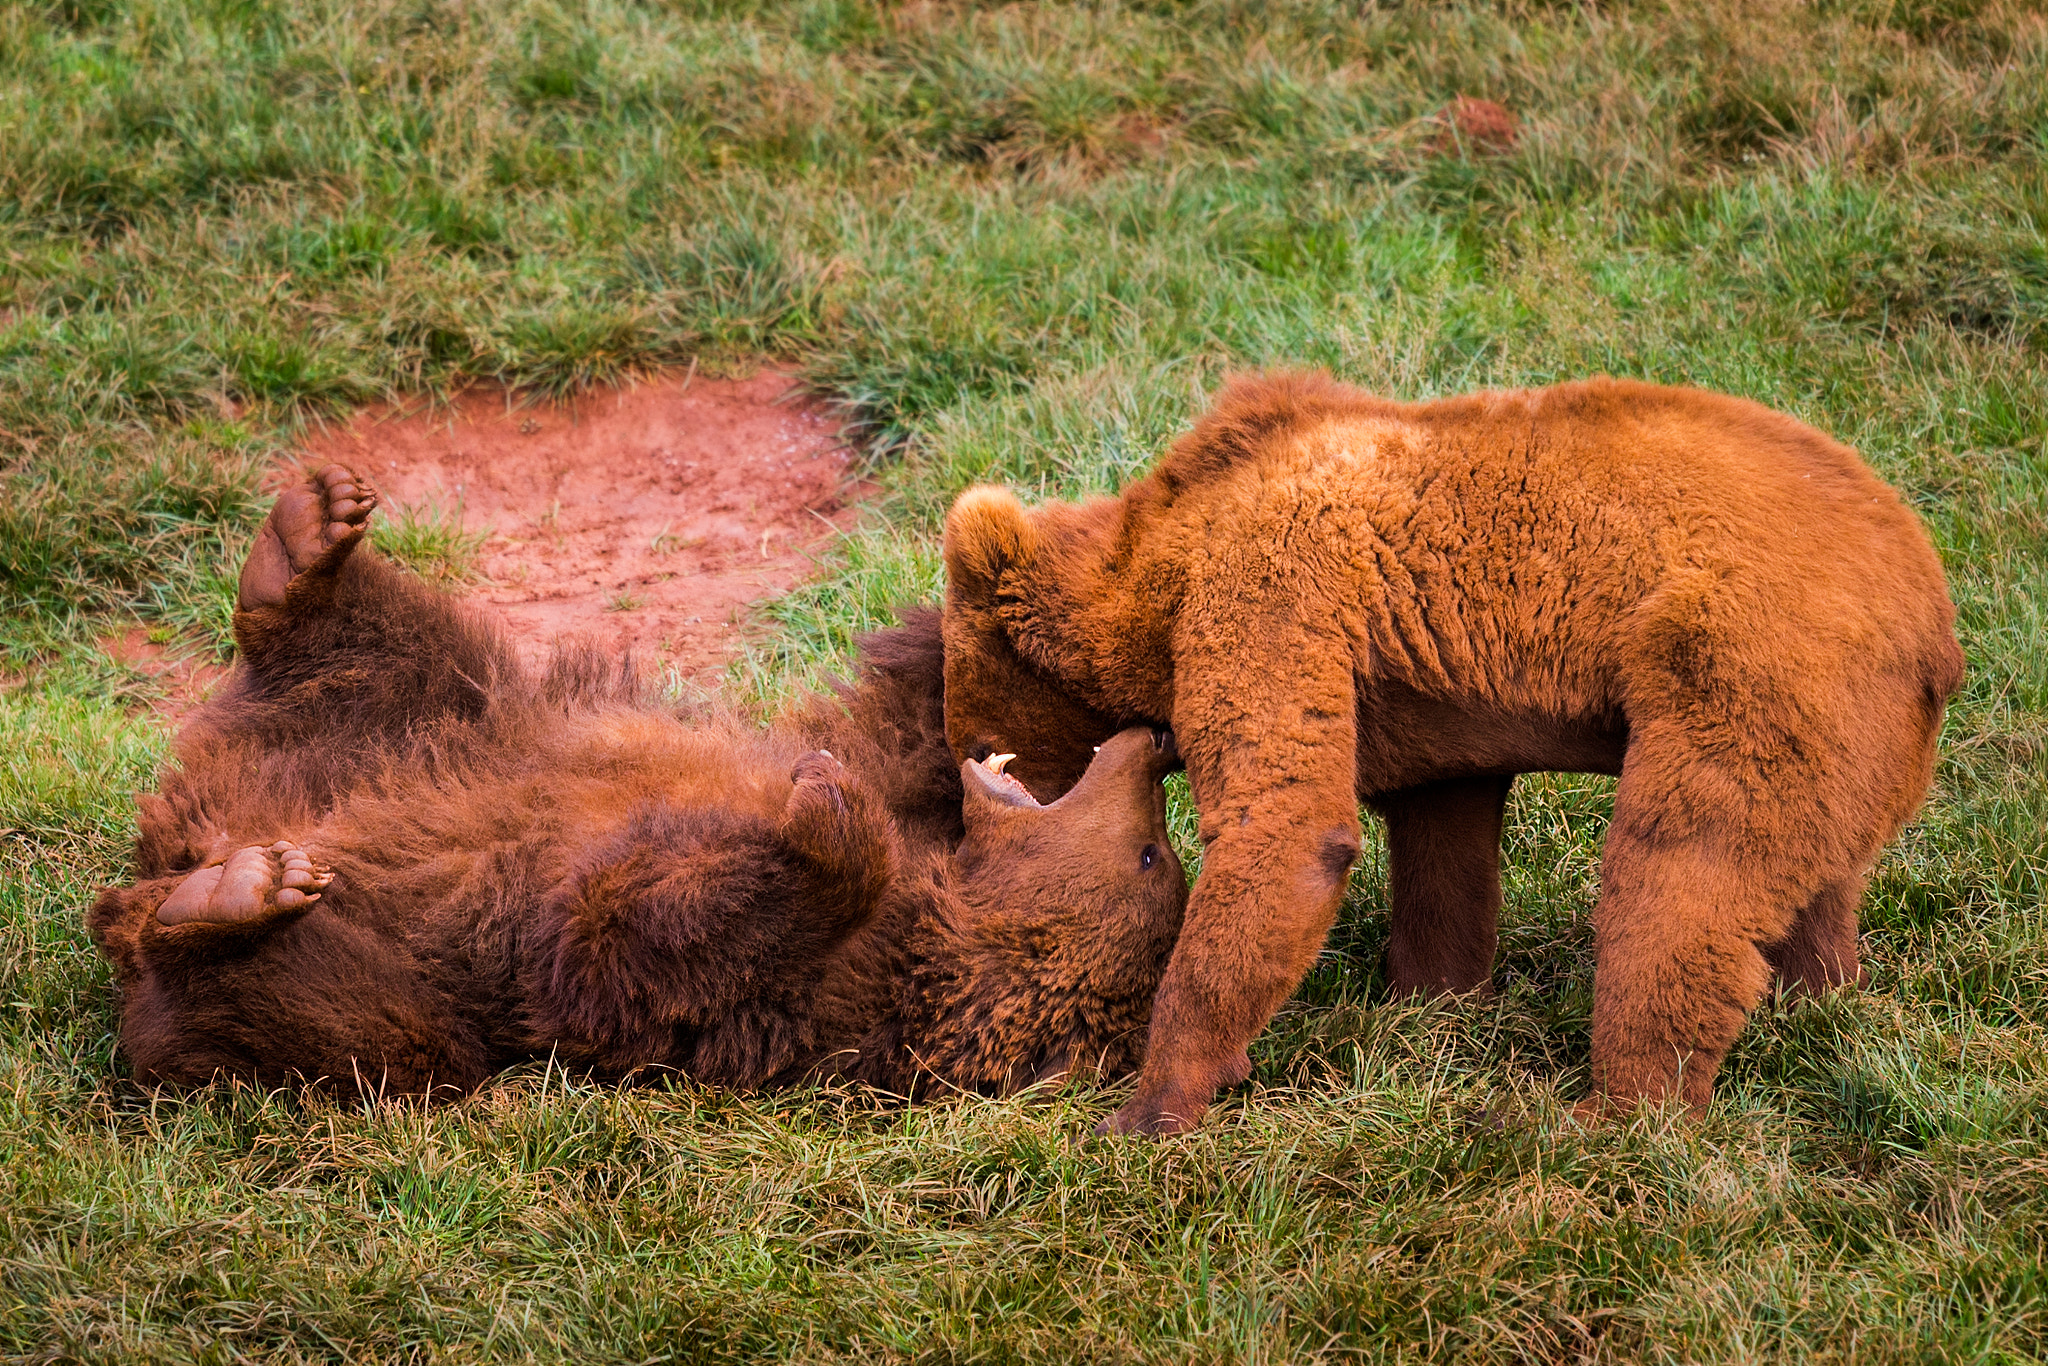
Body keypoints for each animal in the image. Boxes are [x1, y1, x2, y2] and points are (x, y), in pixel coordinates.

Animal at [92, 464, 1187, 1105]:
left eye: (1148, 854)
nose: (1151, 747)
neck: (944, 883)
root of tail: (191, 829)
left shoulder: (813, 998)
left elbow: (636, 937)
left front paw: (826, 818)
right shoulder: (907, 776)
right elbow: (920, 711)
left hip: (414, 987)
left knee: (341, 1021)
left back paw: (226, 904)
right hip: (412, 725)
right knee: (396, 651)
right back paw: (304, 548)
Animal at [942, 370, 1966, 1130]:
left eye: (975, 726)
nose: (959, 779)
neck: (1161, 566)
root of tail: (1936, 617)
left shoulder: (1273, 584)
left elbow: (1289, 828)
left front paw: (1153, 1103)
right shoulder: (1427, 700)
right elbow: (1444, 840)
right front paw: (1426, 1003)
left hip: (1746, 664)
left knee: (1681, 874)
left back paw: (1612, 1113)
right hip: (1840, 733)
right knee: (1814, 882)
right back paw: (1819, 1001)